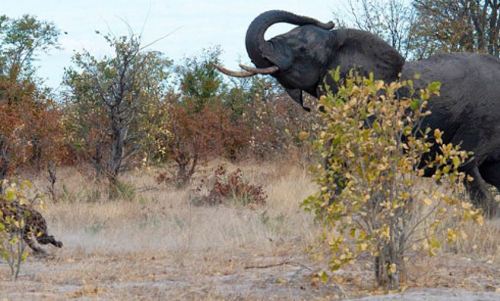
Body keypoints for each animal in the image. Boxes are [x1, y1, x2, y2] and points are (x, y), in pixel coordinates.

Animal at [218, 9, 500, 216]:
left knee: (467, 167)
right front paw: (326, 218)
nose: (327, 21)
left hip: (483, 119)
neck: (338, 41)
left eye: (302, 50)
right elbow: (336, 158)